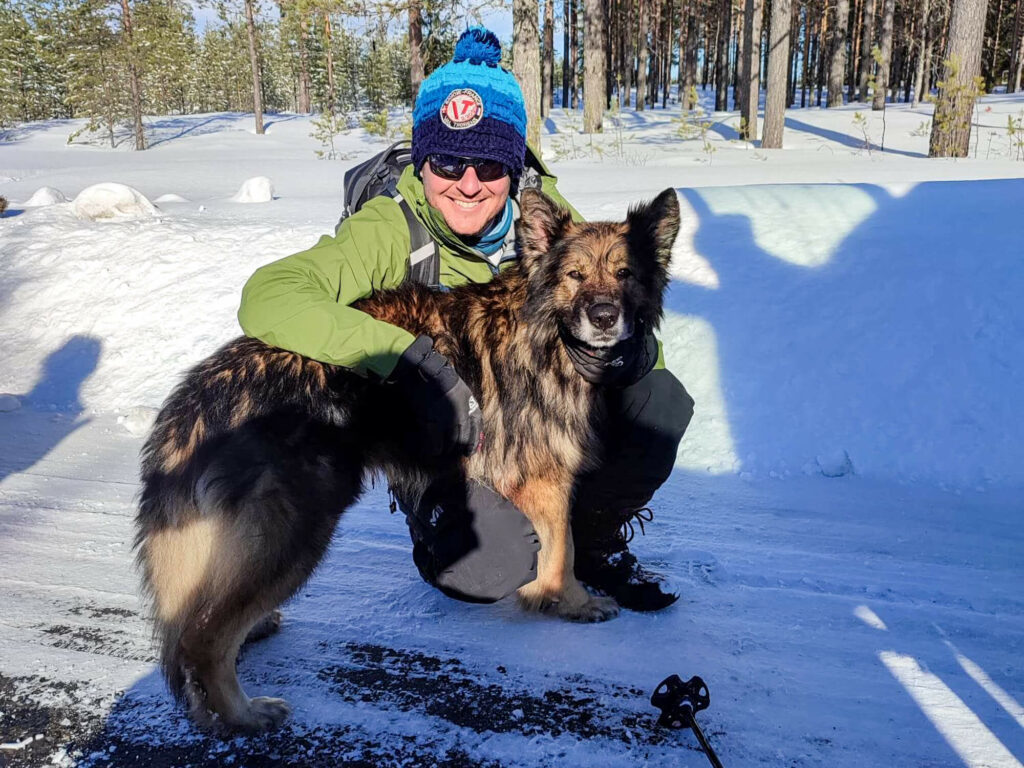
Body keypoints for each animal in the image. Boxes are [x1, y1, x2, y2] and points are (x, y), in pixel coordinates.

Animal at [134, 188, 679, 733]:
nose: (605, 317)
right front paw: (572, 602)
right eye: (575, 275)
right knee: (202, 639)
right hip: (297, 530)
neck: (544, 328)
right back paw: (241, 713)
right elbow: (562, 549)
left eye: (625, 273)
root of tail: (205, 387)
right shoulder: (544, 480)